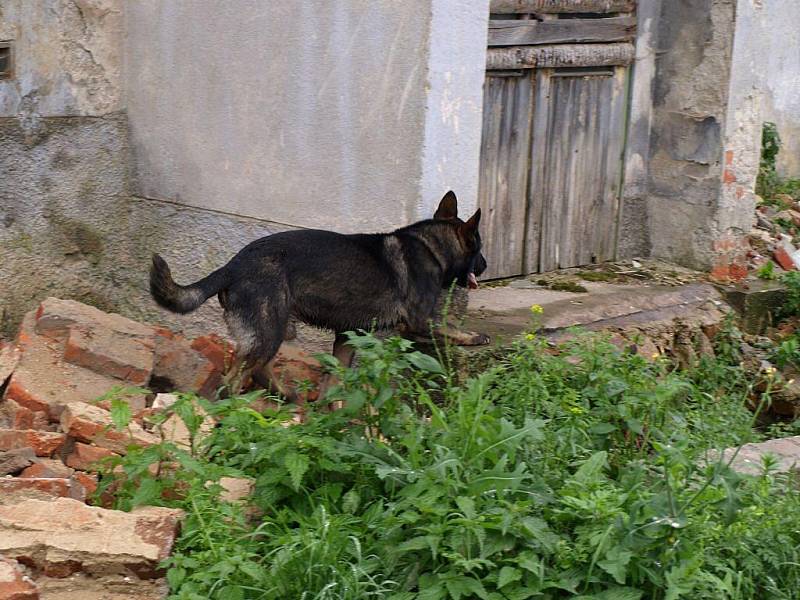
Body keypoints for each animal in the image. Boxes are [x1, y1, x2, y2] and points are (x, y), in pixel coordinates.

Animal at [149, 192, 488, 396]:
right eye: (479, 247)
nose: (485, 266)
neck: (432, 246)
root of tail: (232, 266)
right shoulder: (420, 321)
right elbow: (451, 328)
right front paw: (475, 336)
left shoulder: (348, 337)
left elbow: (335, 382)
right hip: (270, 330)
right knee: (234, 379)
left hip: (278, 329)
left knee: (258, 368)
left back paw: (281, 394)